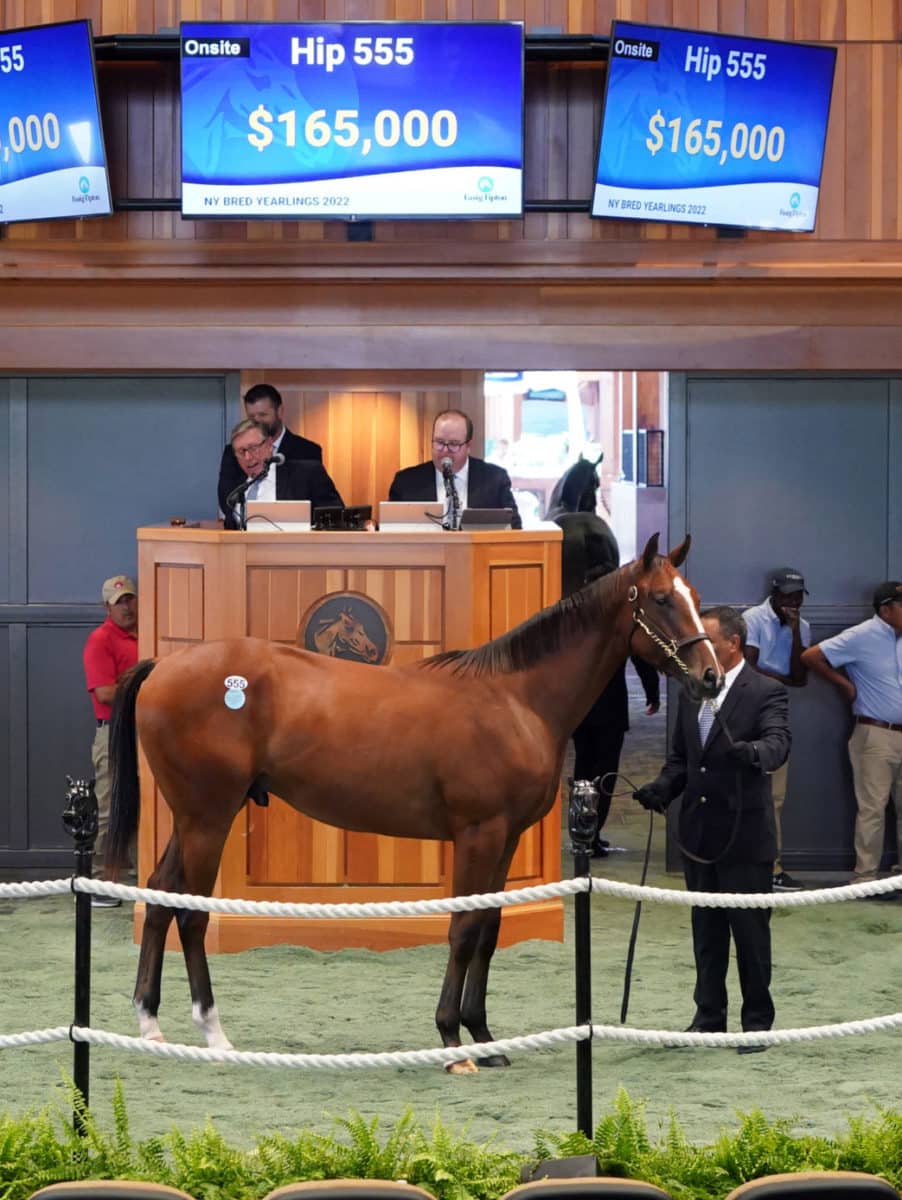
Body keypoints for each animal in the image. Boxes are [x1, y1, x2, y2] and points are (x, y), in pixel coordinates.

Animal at [107, 535, 719, 1070]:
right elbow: (463, 929)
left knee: (159, 896)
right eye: (661, 599)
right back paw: (214, 1034)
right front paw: (452, 1039)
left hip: (194, 819)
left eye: (692, 592)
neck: (517, 700)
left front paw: (485, 1038)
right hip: (208, 817)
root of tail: (164, 665)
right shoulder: (478, 833)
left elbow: (490, 929)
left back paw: (150, 1024)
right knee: (189, 913)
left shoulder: (506, 838)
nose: (711, 676)